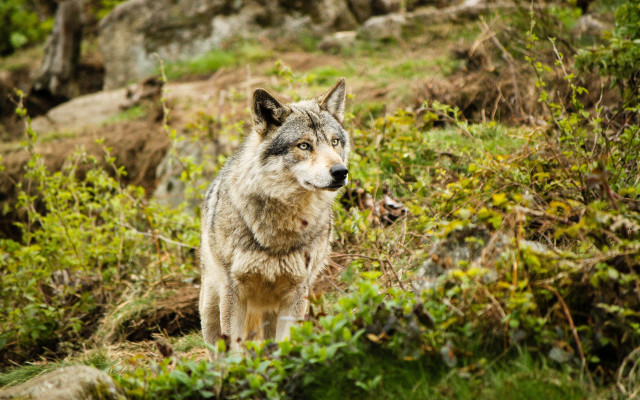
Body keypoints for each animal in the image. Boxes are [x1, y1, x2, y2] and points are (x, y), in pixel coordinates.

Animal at [199, 78, 350, 356]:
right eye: (304, 145)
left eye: (334, 142)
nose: (340, 171)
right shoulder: (234, 293)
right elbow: (235, 352)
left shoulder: (296, 294)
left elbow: (286, 345)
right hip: (211, 307)